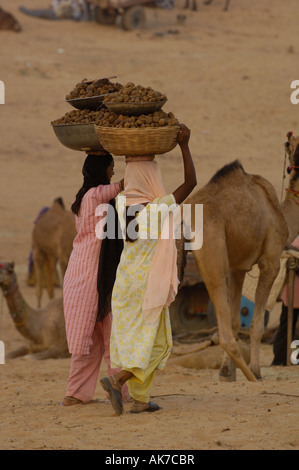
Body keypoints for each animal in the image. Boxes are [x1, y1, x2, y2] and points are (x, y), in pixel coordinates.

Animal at [177, 132, 299, 382]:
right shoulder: (270, 261)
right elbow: (255, 325)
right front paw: (256, 371)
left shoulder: (238, 267)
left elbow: (235, 321)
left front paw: (227, 373)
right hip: (213, 258)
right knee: (224, 335)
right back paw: (251, 377)